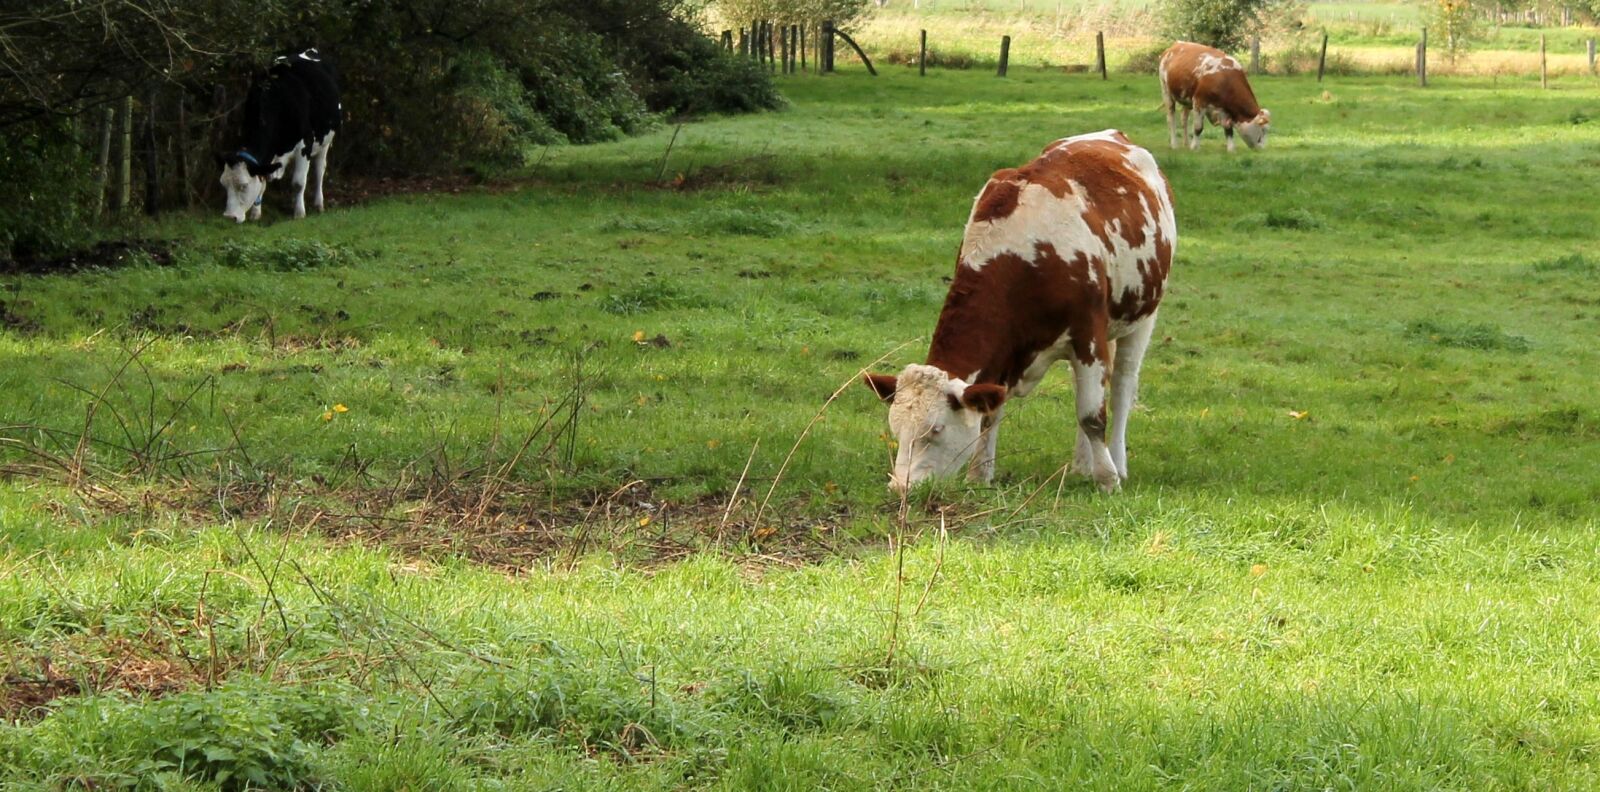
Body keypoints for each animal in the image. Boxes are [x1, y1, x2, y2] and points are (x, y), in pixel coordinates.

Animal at [218, 48, 341, 223]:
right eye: (223, 184)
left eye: (244, 185)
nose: (229, 217)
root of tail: (310, 51)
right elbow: (262, 182)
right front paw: (256, 214)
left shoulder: (305, 145)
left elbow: (298, 183)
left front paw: (299, 213)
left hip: (326, 140)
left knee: (319, 170)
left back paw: (318, 204)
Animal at [863, 130, 1176, 495]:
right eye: (896, 429)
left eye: (936, 429)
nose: (900, 486)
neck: (1026, 252)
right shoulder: (1005, 357)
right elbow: (991, 413)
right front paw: (979, 474)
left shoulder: (1088, 335)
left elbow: (1092, 416)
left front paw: (1108, 481)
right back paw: (1082, 464)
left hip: (1142, 317)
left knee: (1123, 387)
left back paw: (1117, 463)